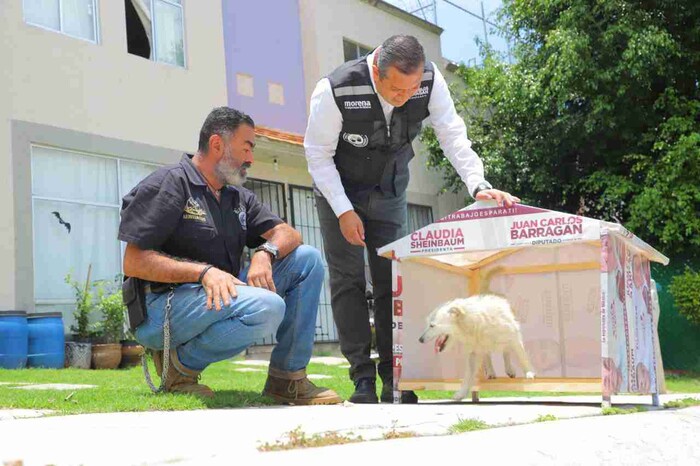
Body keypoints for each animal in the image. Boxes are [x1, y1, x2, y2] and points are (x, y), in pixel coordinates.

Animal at [418, 268, 532, 402]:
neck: (474, 323)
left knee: (506, 351)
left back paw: (509, 369)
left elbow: (522, 357)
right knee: (489, 356)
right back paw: (491, 372)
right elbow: (468, 375)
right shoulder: (474, 353)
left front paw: (529, 373)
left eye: (432, 325)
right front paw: (461, 393)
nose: (420, 340)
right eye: (428, 324)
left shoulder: (514, 337)